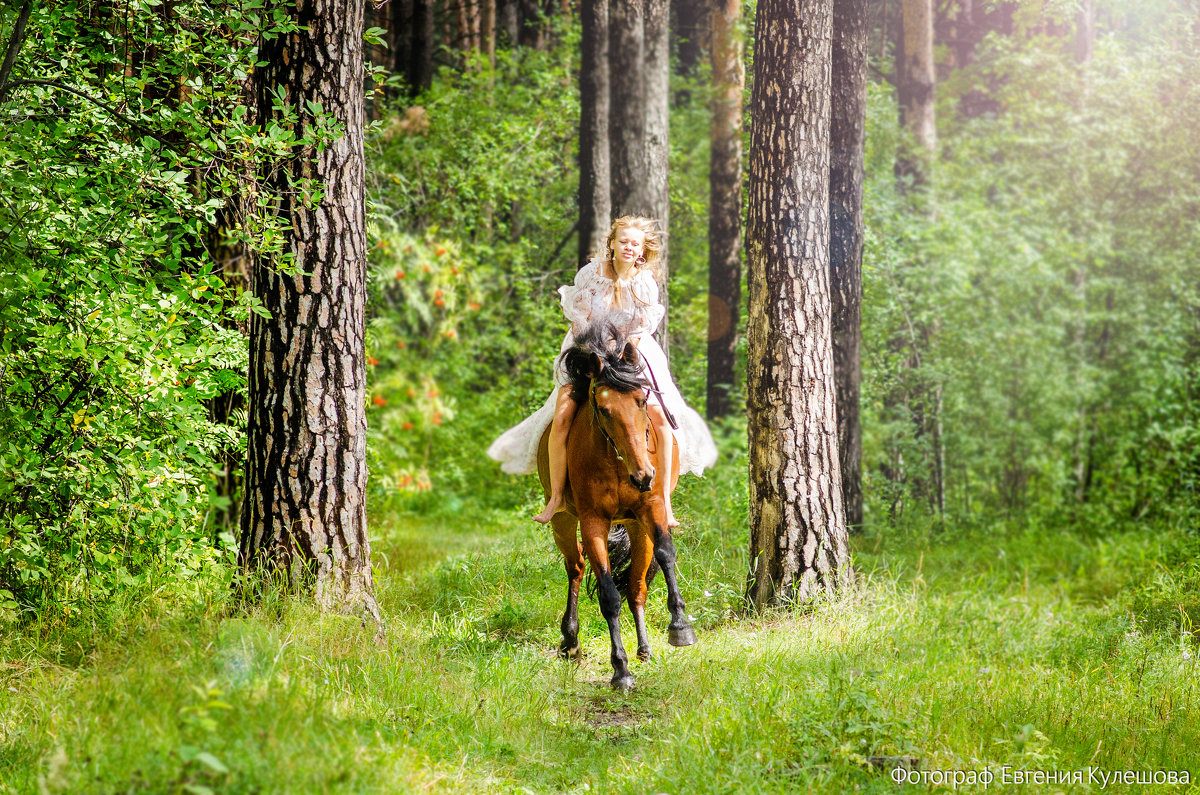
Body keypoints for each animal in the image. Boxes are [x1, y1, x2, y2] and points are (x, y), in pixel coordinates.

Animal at [535, 319, 696, 691]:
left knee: (637, 585)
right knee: (576, 567)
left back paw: (645, 647)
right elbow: (608, 594)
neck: (618, 462)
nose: (644, 476)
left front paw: (680, 626)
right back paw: (571, 641)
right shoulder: (594, 520)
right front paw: (620, 670)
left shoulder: (651, 508)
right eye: (605, 410)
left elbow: (666, 553)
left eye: (641, 401)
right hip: (562, 520)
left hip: (637, 526)